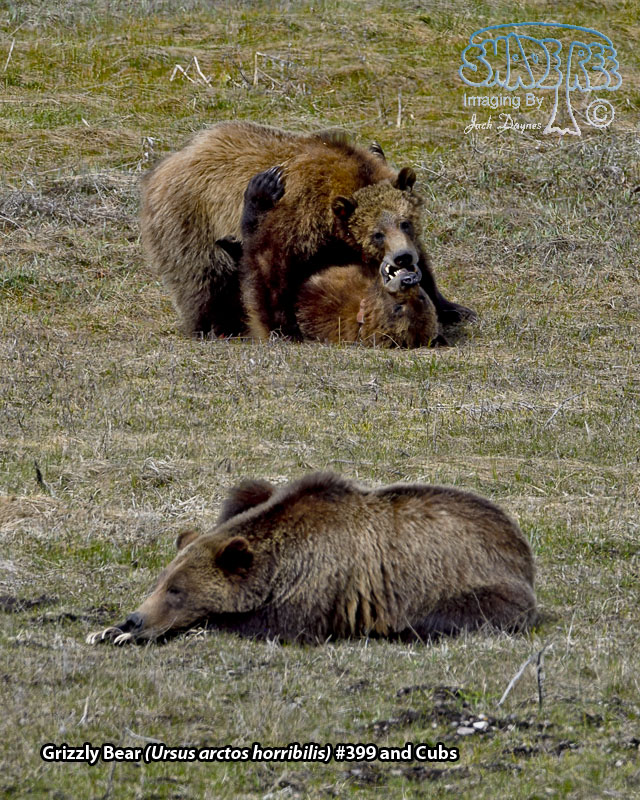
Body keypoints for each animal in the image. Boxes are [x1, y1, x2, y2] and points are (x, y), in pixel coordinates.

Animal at [87, 472, 537, 645]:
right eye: (160, 582)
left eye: (177, 591)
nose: (135, 619)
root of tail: (520, 543)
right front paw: (107, 630)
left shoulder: (320, 583)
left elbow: (273, 626)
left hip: (469, 583)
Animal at [139, 120, 475, 338]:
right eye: (376, 233)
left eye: (406, 221)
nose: (403, 258)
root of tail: (169, 162)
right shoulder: (298, 216)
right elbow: (270, 265)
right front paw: (282, 327)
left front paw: (452, 307)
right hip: (189, 219)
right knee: (204, 275)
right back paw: (214, 325)